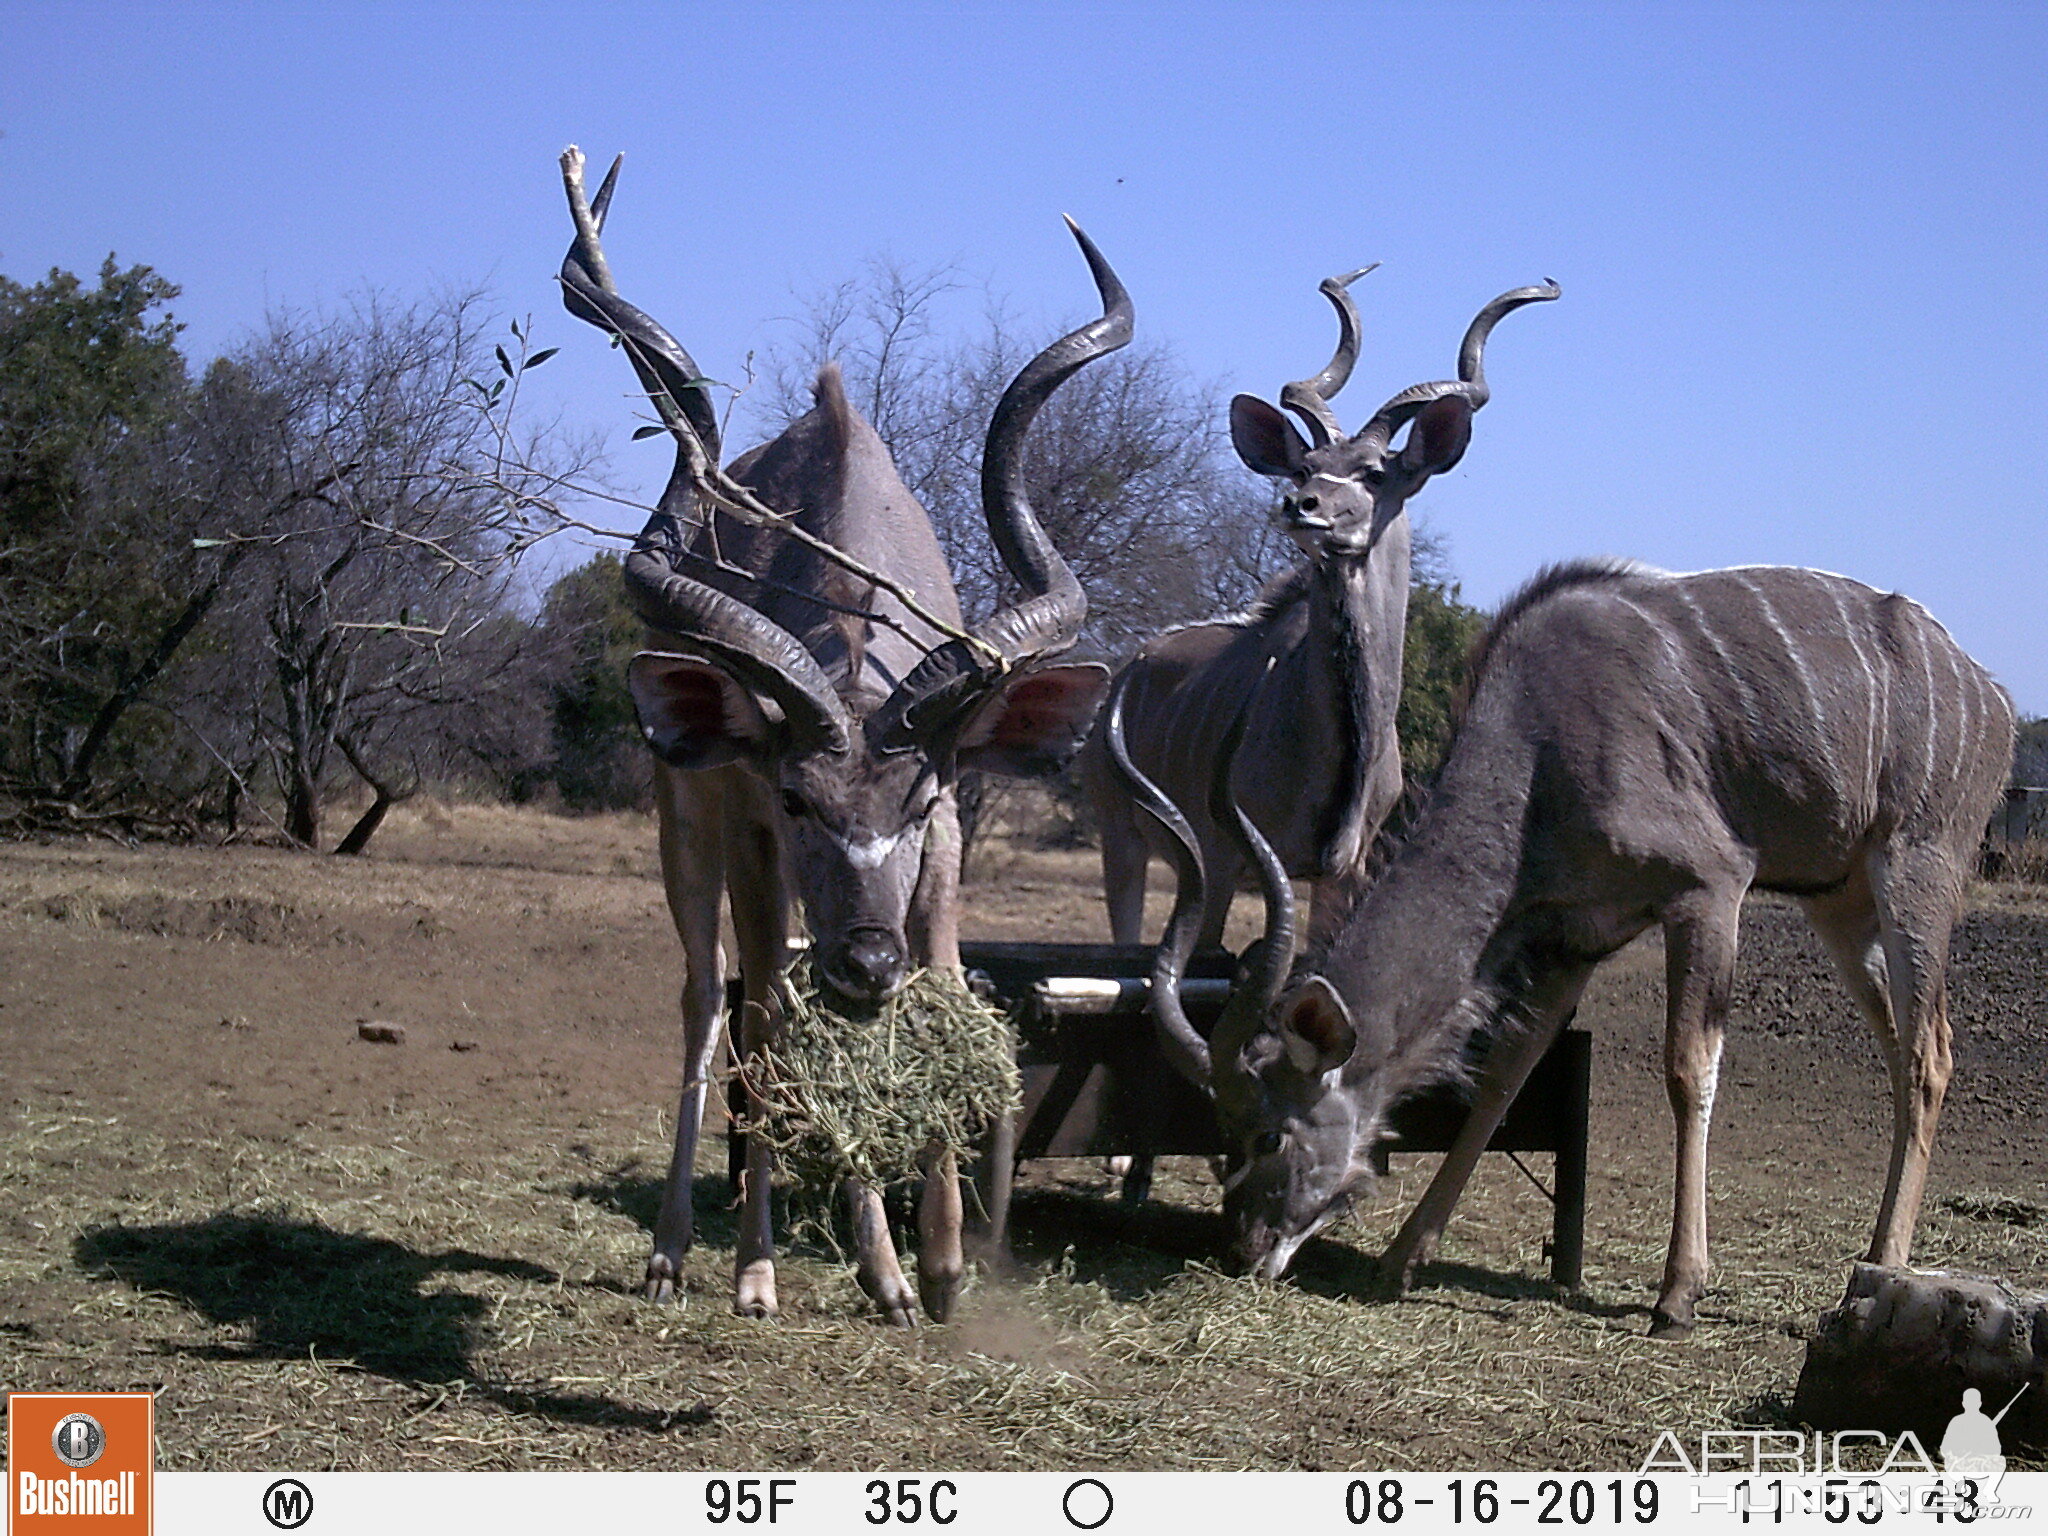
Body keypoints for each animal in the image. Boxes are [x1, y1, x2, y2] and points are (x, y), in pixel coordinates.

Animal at [561, 150, 1122, 1327]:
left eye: (920, 801)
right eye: (796, 798)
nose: (867, 958)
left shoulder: (943, 848)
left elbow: (938, 990)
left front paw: (939, 1264)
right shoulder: (752, 832)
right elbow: (769, 1012)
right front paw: (793, 1272)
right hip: (688, 828)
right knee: (721, 1000)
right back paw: (691, 1256)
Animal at [1114, 561, 2007, 1335]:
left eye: (1268, 1135)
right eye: (1222, 1133)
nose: (1246, 1249)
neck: (1536, 748)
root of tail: (1990, 695)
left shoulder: (1710, 888)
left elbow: (1689, 1070)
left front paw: (1677, 1295)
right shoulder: (1574, 938)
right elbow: (1503, 1078)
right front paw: (1403, 1257)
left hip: (1917, 869)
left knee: (1929, 1051)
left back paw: (1884, 1265)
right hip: (1840, 907)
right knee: (1904, 1050)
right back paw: (1872, 1255)